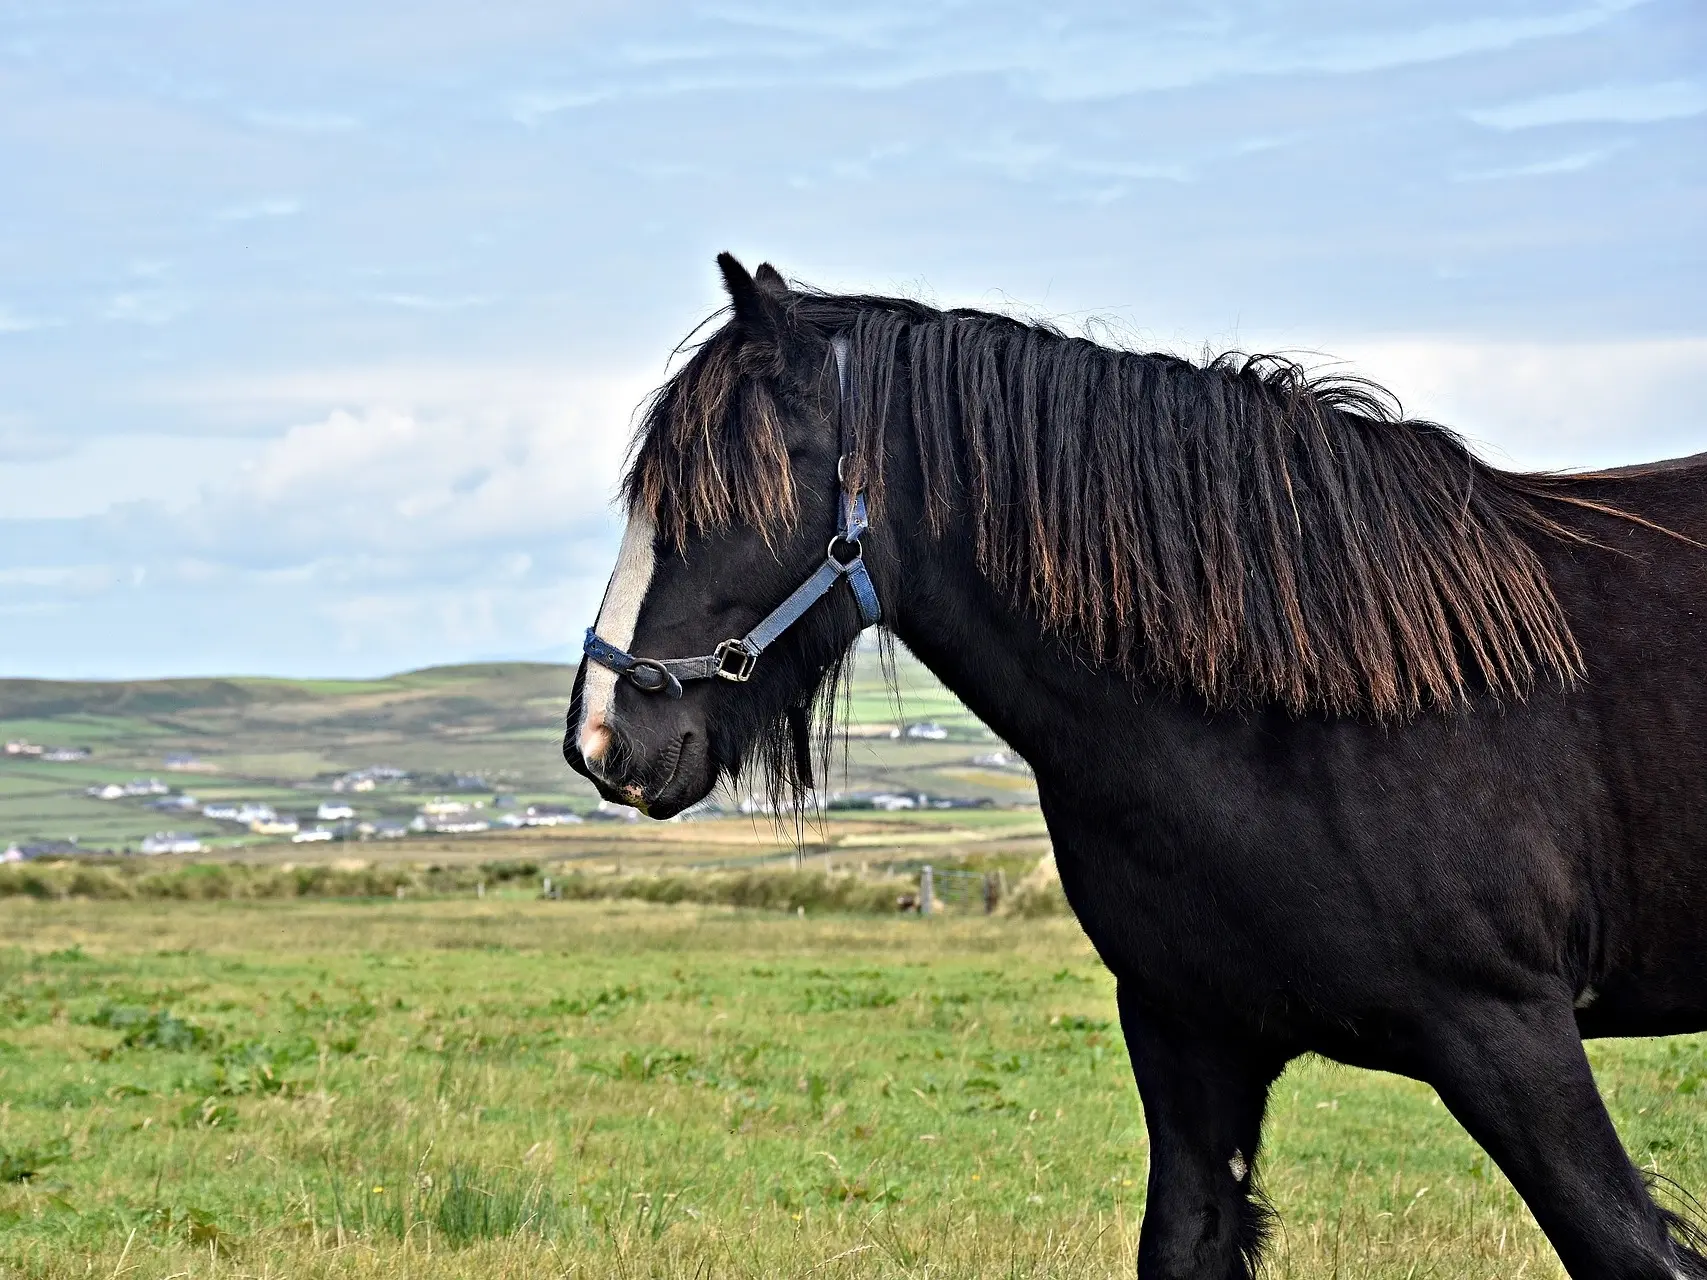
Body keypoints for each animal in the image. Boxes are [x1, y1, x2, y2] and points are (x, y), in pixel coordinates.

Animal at [563, 256, 1707, 1276]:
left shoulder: (1508, 1030)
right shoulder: (1193, 1036)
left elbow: (1630, 1249)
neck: (1304, 704)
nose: (600, 739)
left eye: (722, 493)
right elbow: (1183, 1245)